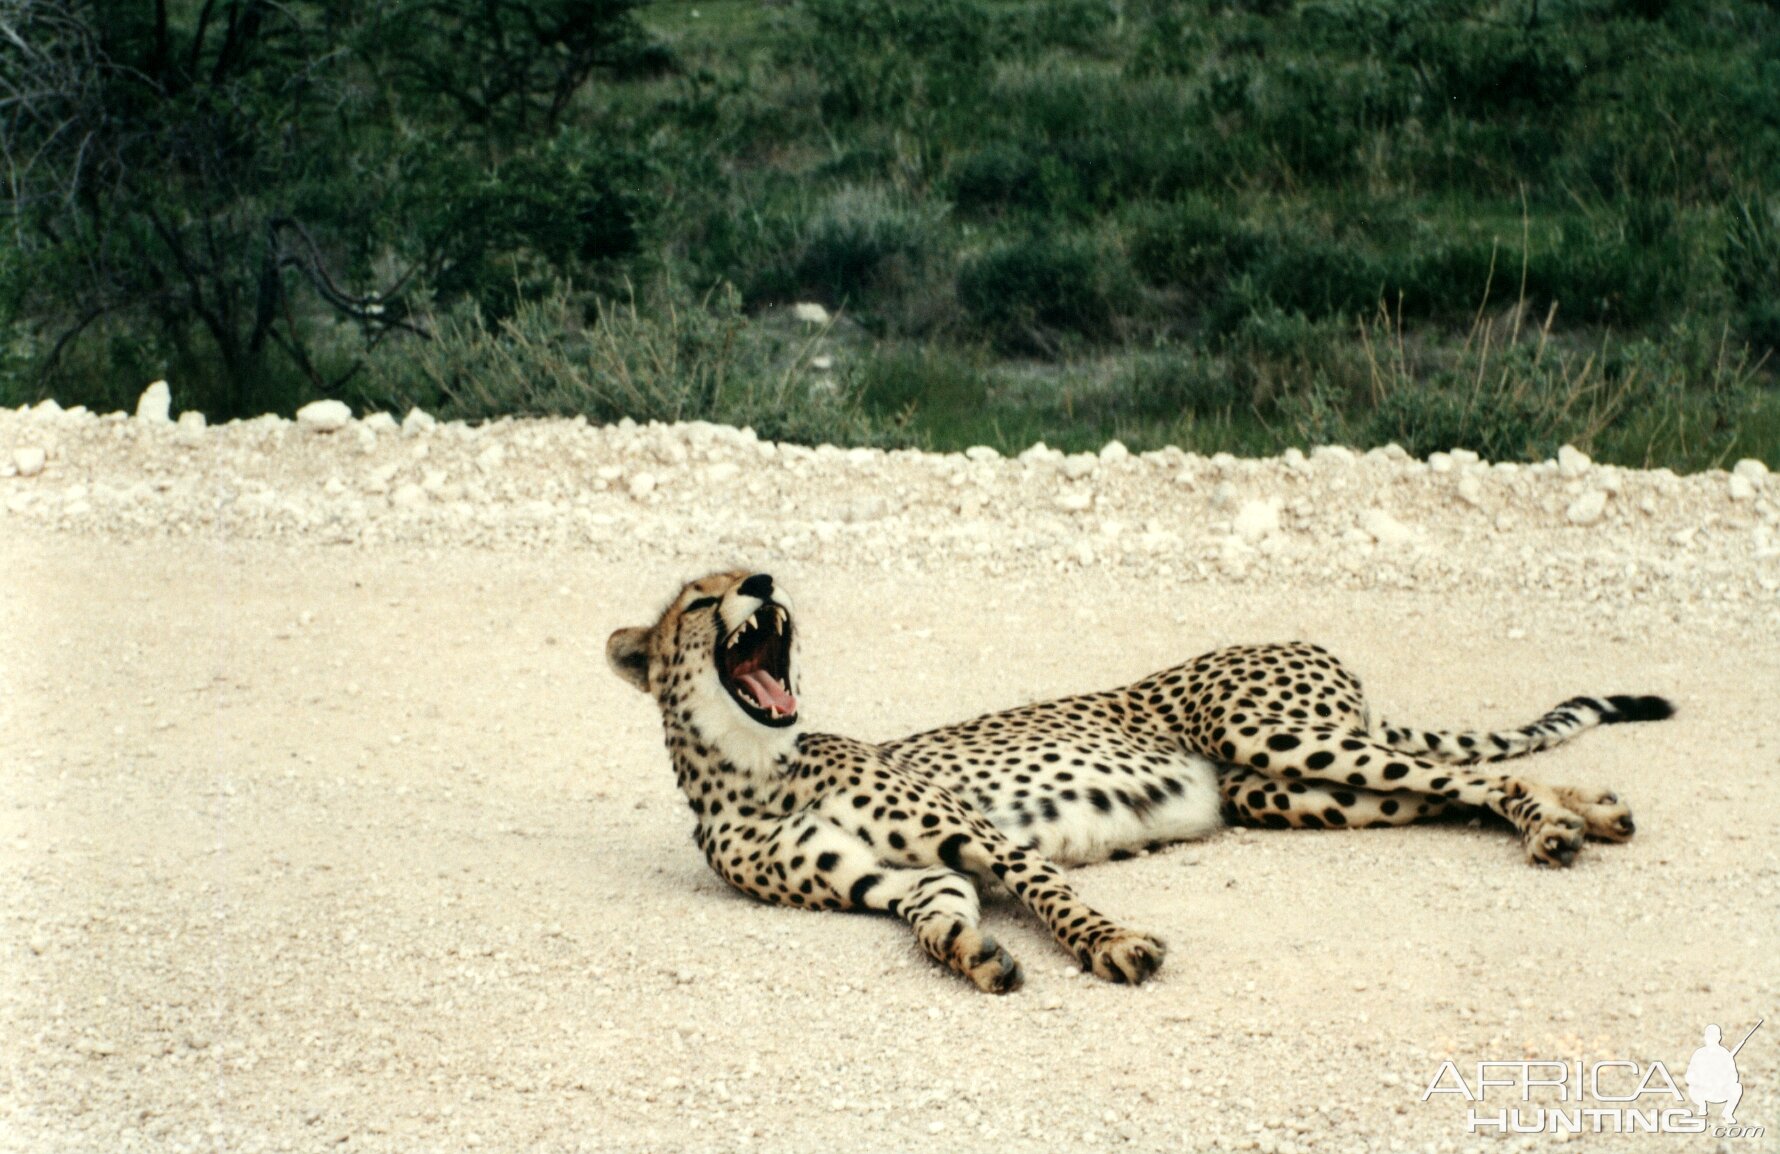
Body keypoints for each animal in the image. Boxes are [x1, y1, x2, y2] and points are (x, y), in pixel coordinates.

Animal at [608, 566, 1666, 990]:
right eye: (701, 598)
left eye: (751, 575)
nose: (765, 585)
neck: (757, 769)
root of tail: (1310, 647)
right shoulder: (907, 875)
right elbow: (938, 921)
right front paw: (977, 956)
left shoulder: (977, 834)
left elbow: (1053, 895)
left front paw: (1113, 945)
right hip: (1289, 789)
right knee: (1437, 783)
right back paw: (1594, 812)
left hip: (1274, 736)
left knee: (1460, 774)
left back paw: (1560, 824)